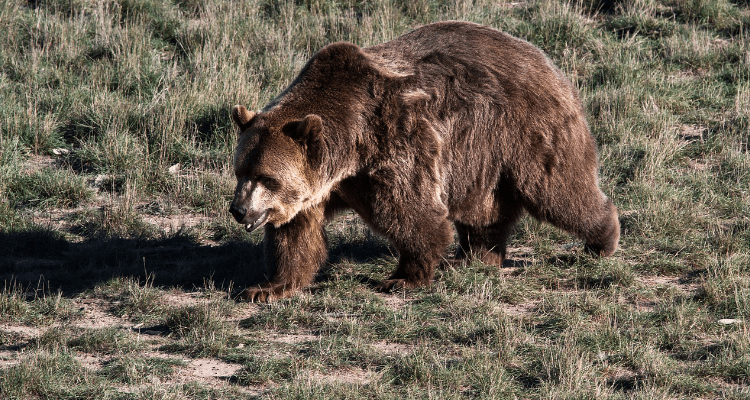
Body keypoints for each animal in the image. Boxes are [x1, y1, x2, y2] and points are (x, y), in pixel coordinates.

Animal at [228, 21, 620, 302]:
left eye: (268, 178)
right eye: (240, 172)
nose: (239, 210)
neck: (349, 151)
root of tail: (544, 58)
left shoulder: (393, 145)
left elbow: (412, 214)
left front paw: (403, 278)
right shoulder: (316, 189)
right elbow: (295, 237)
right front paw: (267, 288)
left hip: (525, 131)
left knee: (558, 190)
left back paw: (602, 240)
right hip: (481, 158)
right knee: (485, 210)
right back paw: (475, 255)